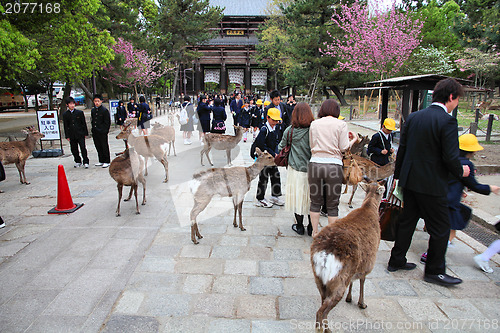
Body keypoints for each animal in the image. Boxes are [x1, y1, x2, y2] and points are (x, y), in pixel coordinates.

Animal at [310, 180, 384, 330]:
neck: (369, 208)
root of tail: (325, 254)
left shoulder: (355, 270)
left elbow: (354, 280)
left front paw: (349, 298)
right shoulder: (367, 264)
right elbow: (362, 280)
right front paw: (362, 303)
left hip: (319, 279)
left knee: (323, 303)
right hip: (339, 279)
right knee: (321, 311)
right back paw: (328, 330)